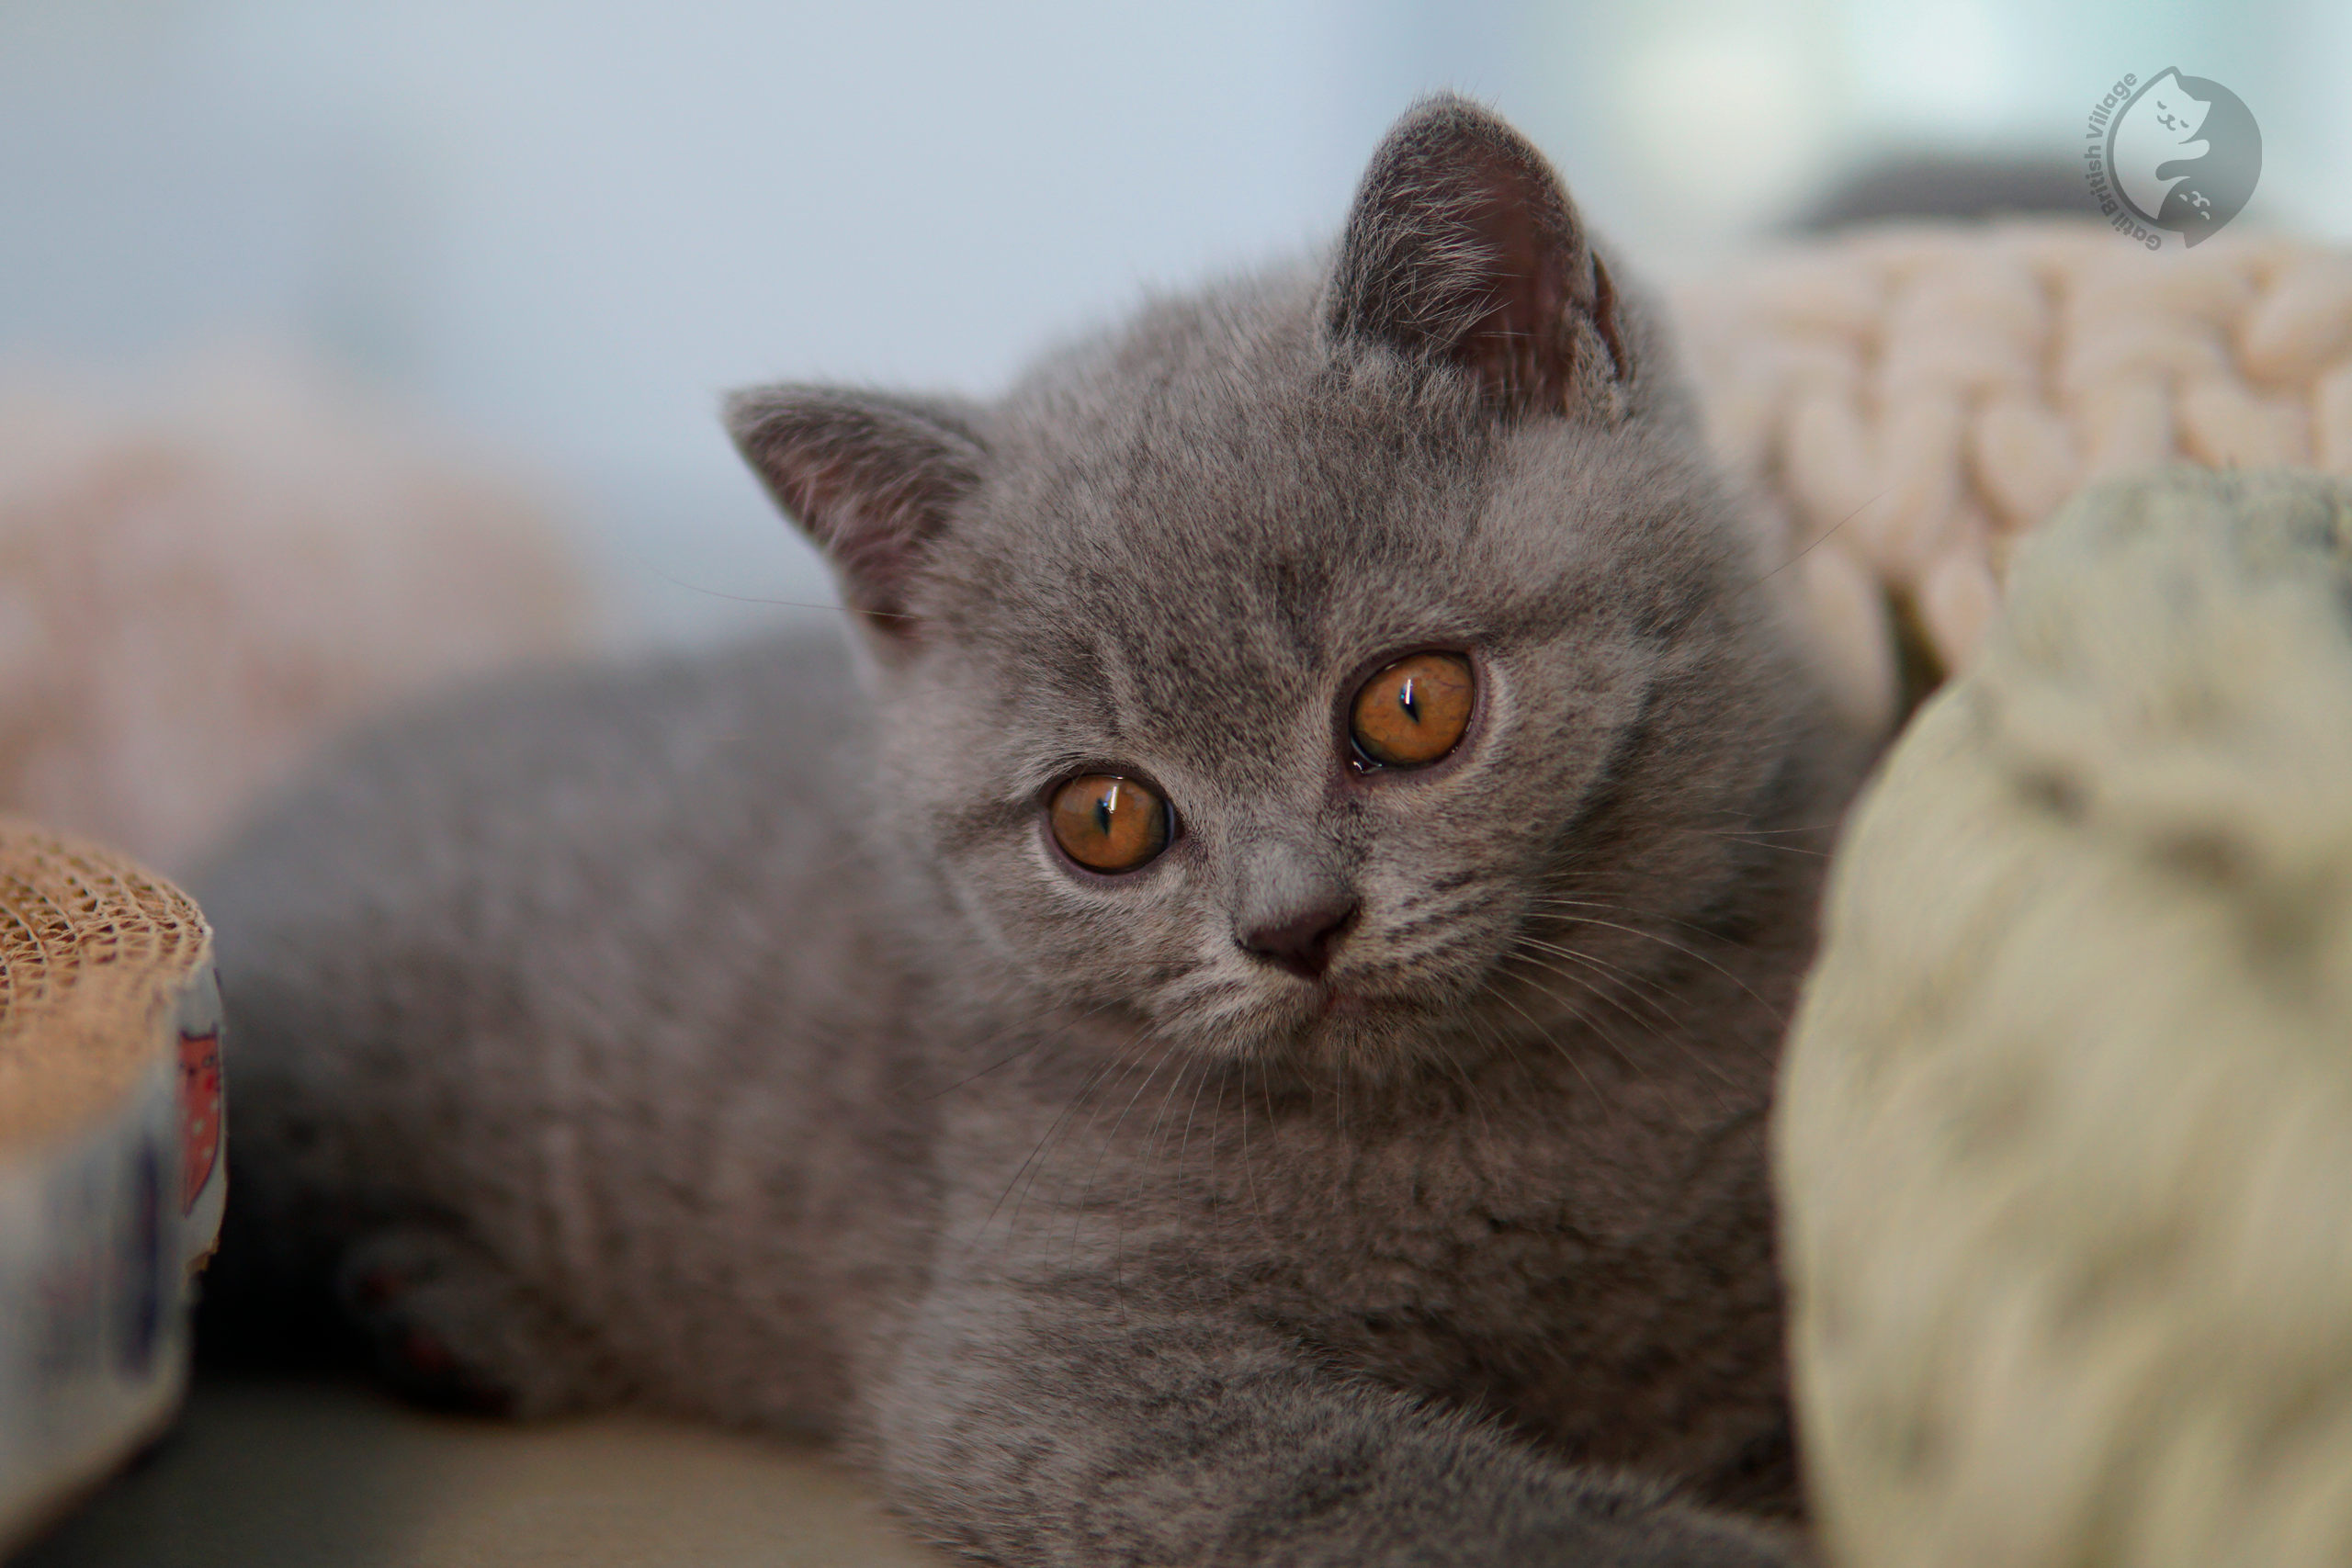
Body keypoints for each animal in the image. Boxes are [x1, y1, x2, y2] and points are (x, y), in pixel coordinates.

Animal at [198, 97, 1853, 1568]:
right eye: (1105, 817)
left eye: (1412, 704)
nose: (1293, 924)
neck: (1487, 1119)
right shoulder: (1037, 1361)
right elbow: (1425, 1496)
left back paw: (447, 1313)